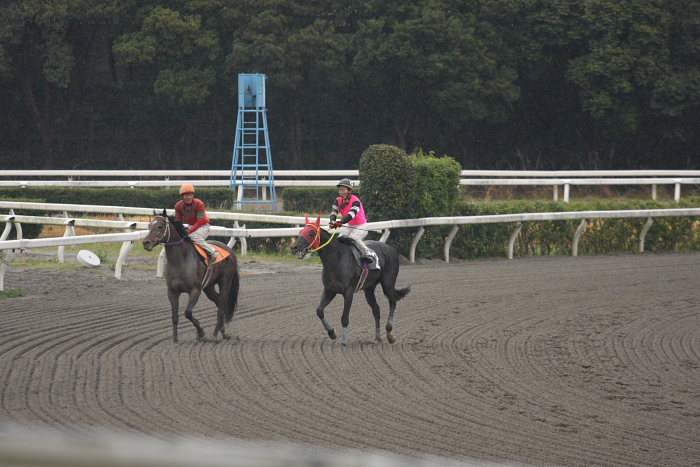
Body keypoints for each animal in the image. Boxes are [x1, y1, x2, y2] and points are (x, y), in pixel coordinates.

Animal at [142, 212, 241, 344]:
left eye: (160, 226)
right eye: (149, 226)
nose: (146, 242)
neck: (180, 260)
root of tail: (230, 251)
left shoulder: (195, 290)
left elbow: (188, 313)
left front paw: (201, 333)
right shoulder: (172, 291)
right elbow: (174, 316)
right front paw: (175, 339)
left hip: (225, 282)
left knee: (221, 307)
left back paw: (214, 336)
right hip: (209, 287)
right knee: (218, 301)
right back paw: (224, 333)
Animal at [290, 215, 410, 344]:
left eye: (311, 233)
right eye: (300, 232)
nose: (293, 247)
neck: (336, 259)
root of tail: (391, 249)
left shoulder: (348, 292)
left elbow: (344, 318)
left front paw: (344, 341)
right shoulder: (329, 290)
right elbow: (319, 311)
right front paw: (332, 333)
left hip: (388, 283)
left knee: (392, 302)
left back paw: (390, 334)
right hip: (369, 289)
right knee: (376, 310)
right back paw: (377, 337)